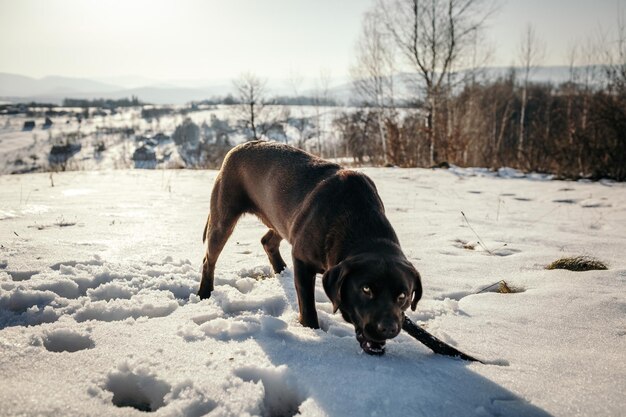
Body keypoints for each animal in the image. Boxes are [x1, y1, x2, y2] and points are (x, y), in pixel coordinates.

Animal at [197, 141, 422, 352]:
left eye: (402, 296)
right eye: (366, 289)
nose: (388, 328)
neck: (362, 224)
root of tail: (238, 147)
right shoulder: (302, 260)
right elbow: (307, 305)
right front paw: (312, 330)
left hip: (282, 221)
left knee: (267, 241)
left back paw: (282, 271)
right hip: (223, 218)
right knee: (209, 259)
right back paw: (204, 293)